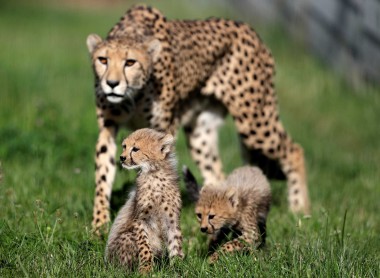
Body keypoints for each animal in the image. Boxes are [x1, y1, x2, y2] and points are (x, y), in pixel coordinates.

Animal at [87, 5, 310, 233]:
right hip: (200, 134)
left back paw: (299, 209)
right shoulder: (108, 127)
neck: (134, 95)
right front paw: (99, 224)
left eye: (130, 62)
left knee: (294, 150)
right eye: (103, 60)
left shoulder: (163, 129)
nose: (111, 84)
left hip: (253, 119)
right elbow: (103, 173)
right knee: (217, 175)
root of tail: (250, 30)